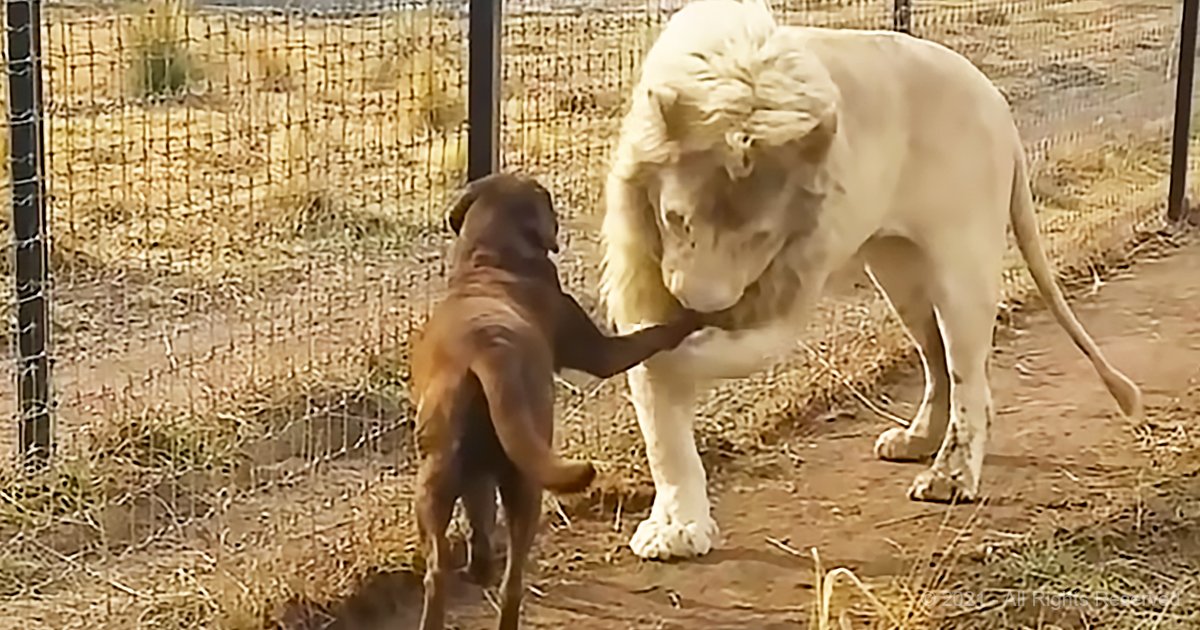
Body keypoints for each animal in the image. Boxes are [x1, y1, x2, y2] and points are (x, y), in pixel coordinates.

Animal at [408, 171, 700, 628]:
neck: (491, 261)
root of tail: (487, 353)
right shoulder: (599, 352)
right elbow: (650, 336)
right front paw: (689, 317)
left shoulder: (476, 476)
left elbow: (478, 518)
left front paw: (479, 565)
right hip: (526, 483)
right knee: (512, 583)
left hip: (437, 480)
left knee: (438, 569)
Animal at [600, 0, 1142, 559]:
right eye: (677, 218)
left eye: (762, 235)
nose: (698, 305)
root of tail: (995, 100)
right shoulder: (641, 270)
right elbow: (663, 429)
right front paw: (676, 528)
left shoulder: (795, 277)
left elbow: (726, 353)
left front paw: (673, 353)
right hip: (898, 271)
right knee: (937, 361)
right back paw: (916, 441)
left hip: (963, 266)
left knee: (971, 379)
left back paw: (950, 477)